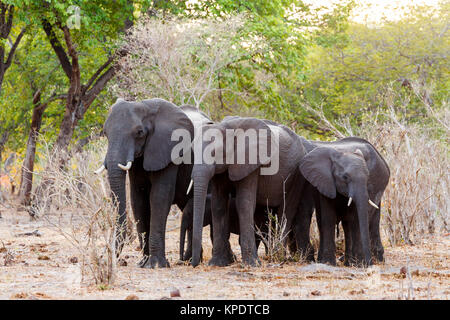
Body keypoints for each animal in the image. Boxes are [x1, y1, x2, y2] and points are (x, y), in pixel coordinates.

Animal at [99, 99, 212, 268]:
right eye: (105, 133)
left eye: (139, 132)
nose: (104, 259)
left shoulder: (169, 151)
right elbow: (138, 200)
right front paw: (143, 263)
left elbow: (159, 197)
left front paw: (156, 265)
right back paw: (187, 259)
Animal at [190, 116, 310, 266]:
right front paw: (216, 264)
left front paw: (252, 264)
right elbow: (218, 205)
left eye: (214, 153)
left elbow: (244, 203)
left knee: (285, 210)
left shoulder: (251, 164)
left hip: (297, 174)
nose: (194, 263)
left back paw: (279, 256)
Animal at [296, 136, 390, 266]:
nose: (369, 263)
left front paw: (360, 264)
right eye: (345, 177)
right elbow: (328, 218)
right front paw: (328, 263)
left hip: (378, 182)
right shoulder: (325, 181)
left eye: (367, 177)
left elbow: (356, 219)